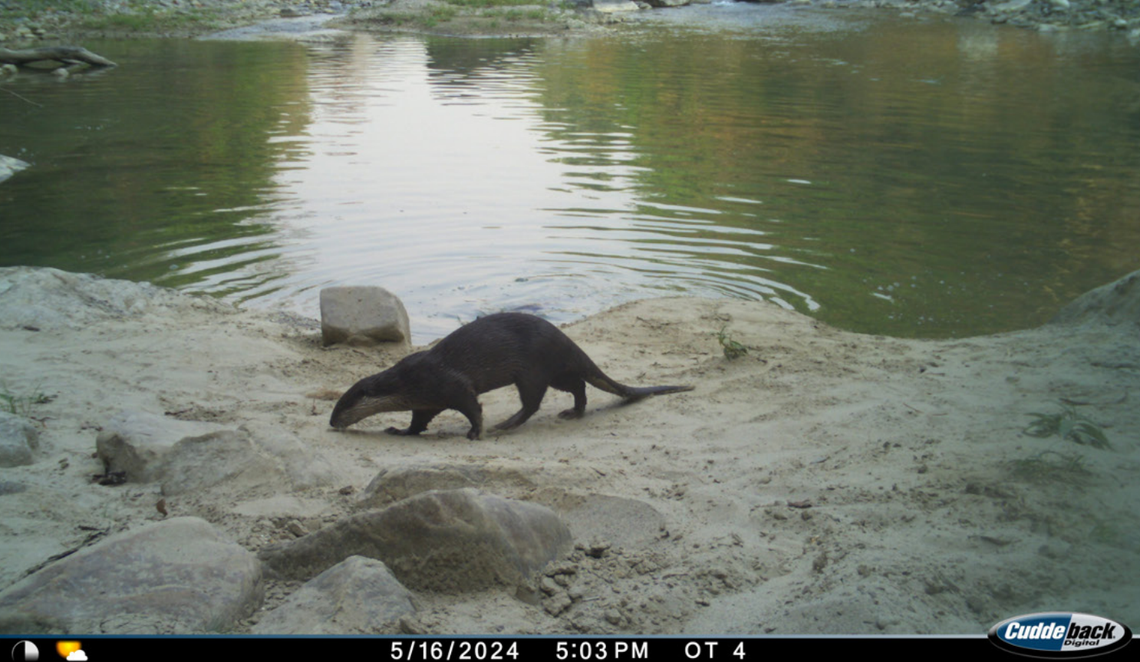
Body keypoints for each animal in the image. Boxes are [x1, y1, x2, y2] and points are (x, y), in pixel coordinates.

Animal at [329, 312, 693, 439]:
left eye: (341, 405)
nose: (332, 422)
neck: (408, 382)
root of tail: (565, 340)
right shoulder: (427, 400)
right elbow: (418, 422)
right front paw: (399, 429)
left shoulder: (449, 384)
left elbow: (472, 407)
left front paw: (476, 432)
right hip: (555, 373)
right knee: (577, 385)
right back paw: (573, 412)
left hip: (532, 370)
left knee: (532, 403)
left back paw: (505, 425)